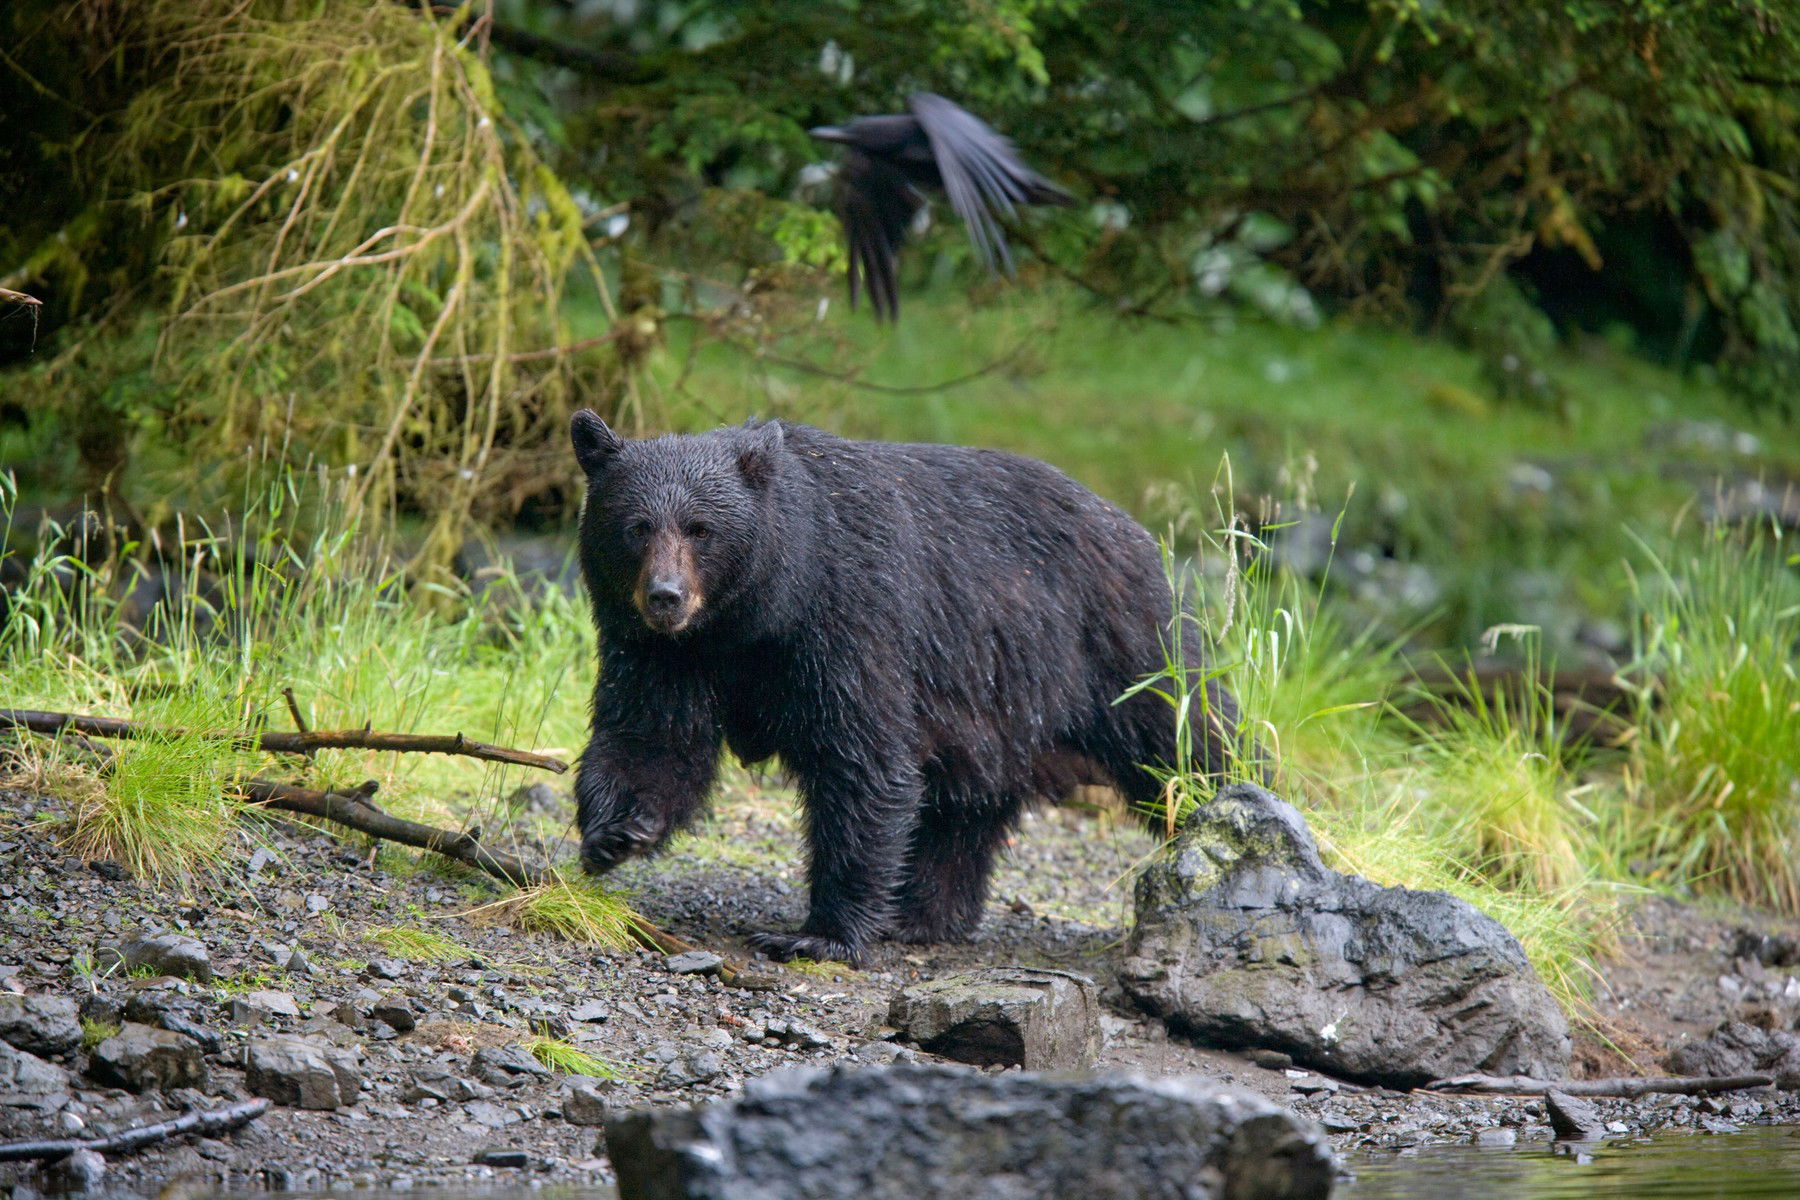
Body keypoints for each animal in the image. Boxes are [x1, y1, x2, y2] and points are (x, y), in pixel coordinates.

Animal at [568, 415, 1245, 964]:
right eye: (635, 527)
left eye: (700, 528)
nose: (665, 596)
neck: (757, 614)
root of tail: (1135, 529)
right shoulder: (664, 655)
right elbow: (653, 738)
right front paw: (616, 831)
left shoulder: (851, 619)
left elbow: (863, 760)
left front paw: (818, 934)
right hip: (997, 703)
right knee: (965, 807)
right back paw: (925, 916)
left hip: (1115, 645)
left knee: (1183, 738)